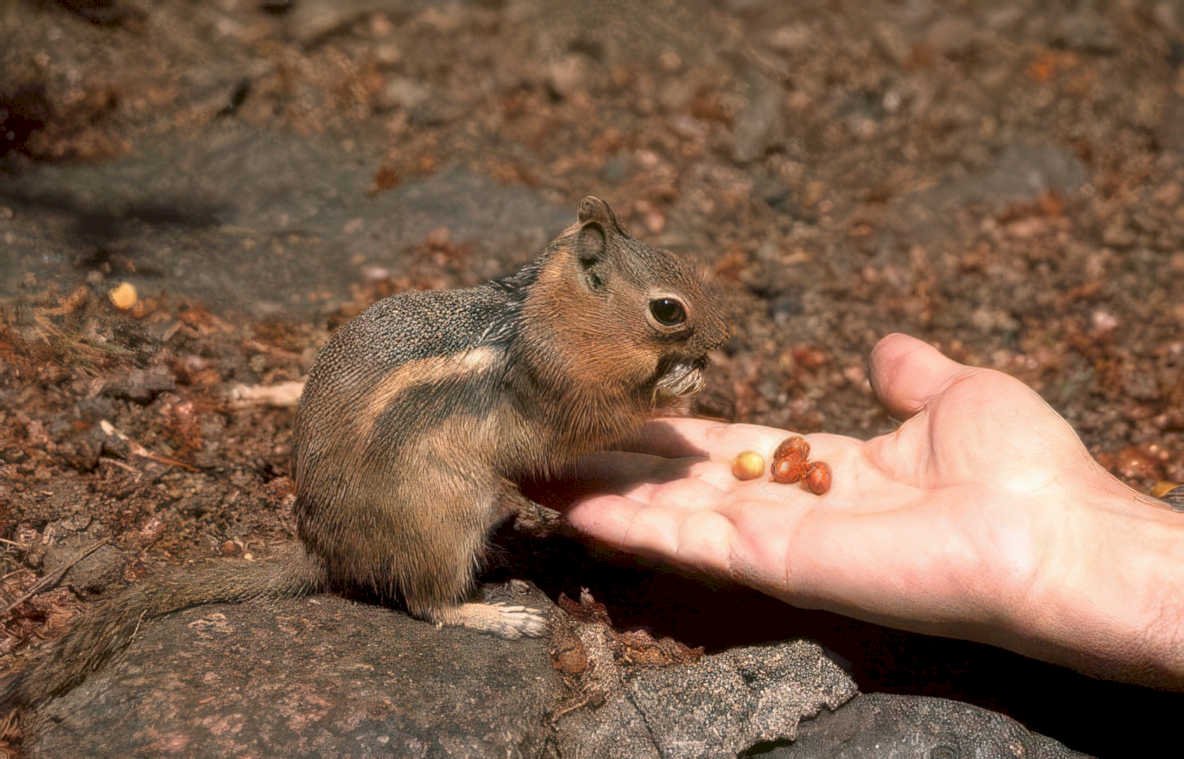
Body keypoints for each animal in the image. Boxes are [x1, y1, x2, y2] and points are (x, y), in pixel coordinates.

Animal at [0, 195, 727, 708]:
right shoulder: (559, 389)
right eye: (668, 309)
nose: (724, 339)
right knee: (427, 603)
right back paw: (495, 615)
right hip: (443, 515)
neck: (547, 312)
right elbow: (592, 422)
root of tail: (329, 554)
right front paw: (678, 381)